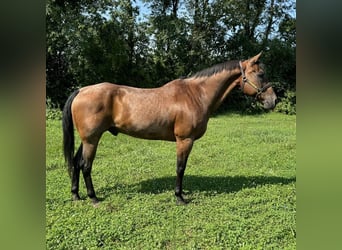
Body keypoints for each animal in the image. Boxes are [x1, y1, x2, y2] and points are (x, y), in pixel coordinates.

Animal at [62, 51, 276, 204]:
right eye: (260, 74)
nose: (273, 100)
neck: (196, 95)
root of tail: (81, 90)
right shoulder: (185, 140)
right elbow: (180, 167)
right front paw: (180, 197)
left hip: (87, 139)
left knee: (76, 162)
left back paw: (76, 195)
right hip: (92, 140)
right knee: (86, 166)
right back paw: (93, 198)